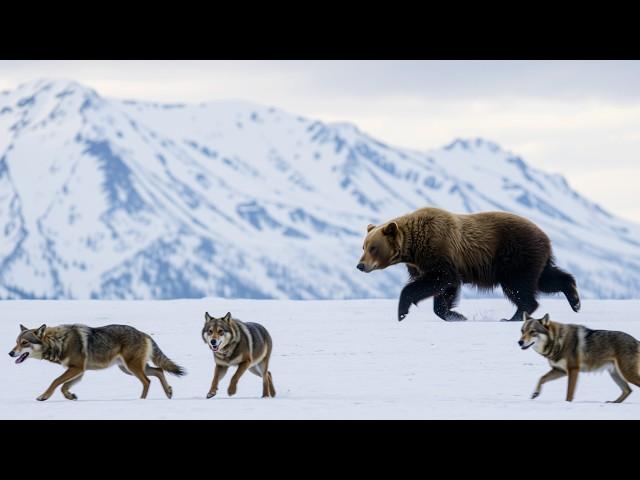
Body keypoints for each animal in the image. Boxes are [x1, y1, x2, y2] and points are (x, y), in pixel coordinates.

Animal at [358, 207, 584, 322]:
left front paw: (402, 311)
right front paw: (455, 314)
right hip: (534, 259)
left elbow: (438, 279)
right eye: (364, 246)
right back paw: (574, 299)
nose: (360, 265)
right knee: (547, 279)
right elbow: (446, 288)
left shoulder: (439, 252)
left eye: (373, 247)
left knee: (519, 287)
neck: (414, 247)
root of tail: (545, 235)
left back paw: (514, 316)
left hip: (515, 255)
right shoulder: (423, 263)